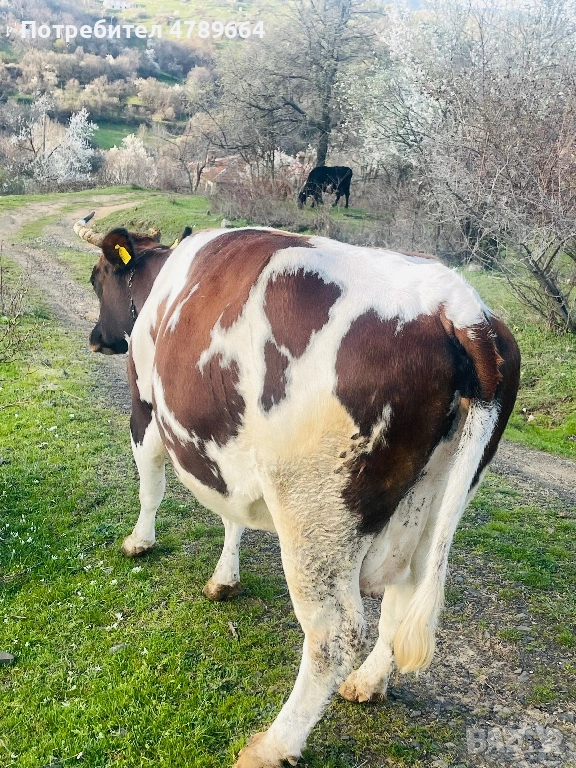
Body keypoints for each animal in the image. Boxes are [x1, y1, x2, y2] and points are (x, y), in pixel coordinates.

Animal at [76, 214, 520, 768]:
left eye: (97, 279)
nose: (96, 338)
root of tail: (461, 310)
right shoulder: (231, 445)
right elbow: (232, 515)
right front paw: (224, 579)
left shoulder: (144, 409)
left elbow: (151, 485)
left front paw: (139, 542)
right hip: (430, 506)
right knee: (405, 595)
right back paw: (369, 684)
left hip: (315, 513)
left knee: (335, 635)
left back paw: (272, 744)